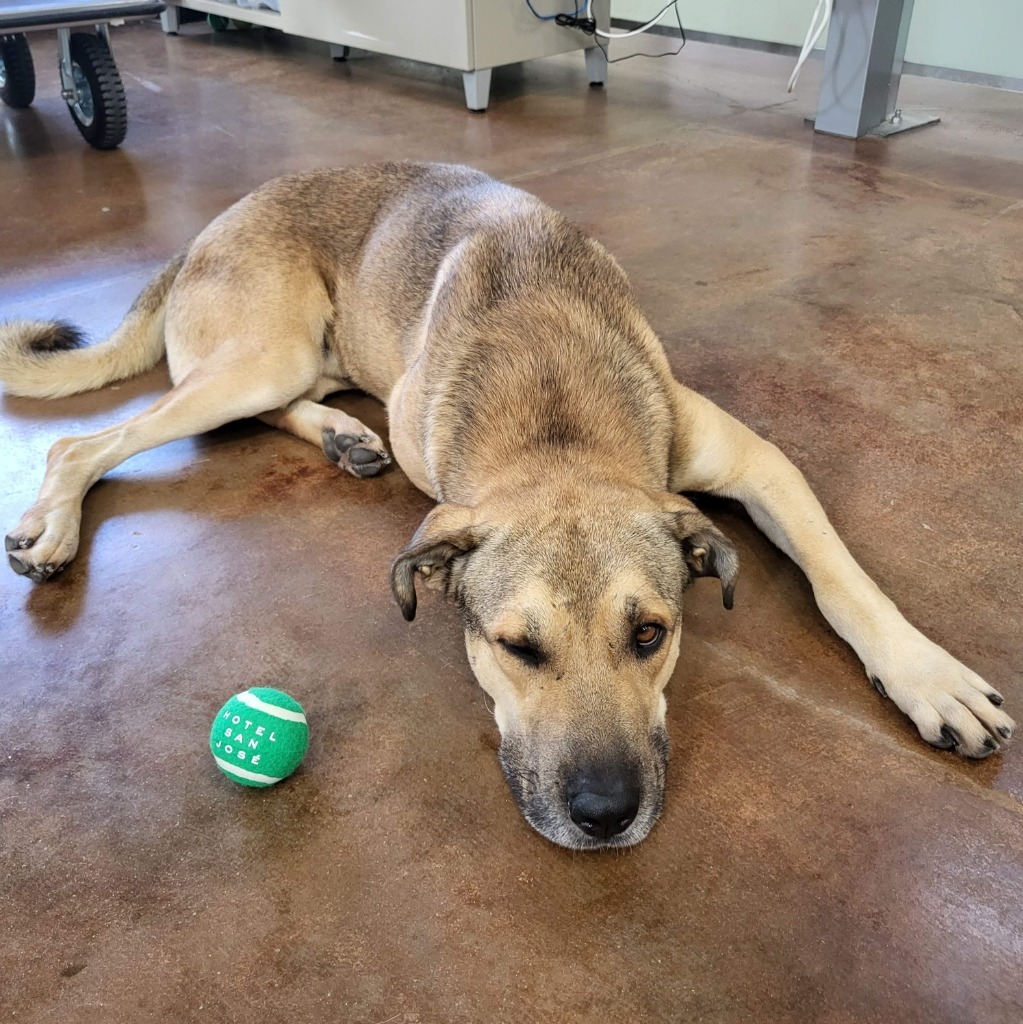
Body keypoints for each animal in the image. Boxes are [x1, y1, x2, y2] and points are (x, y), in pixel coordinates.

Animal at [0, 161, 1007, 847]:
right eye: (516, 648)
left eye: (650, 634)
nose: (604, 814)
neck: (556, 419)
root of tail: (217, 219)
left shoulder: (759, 463)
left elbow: (843, 579)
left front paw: (928, 676)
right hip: (260, 356)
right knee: (85, 441)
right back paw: (54, 519)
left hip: (279, 364)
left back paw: (342, 434)